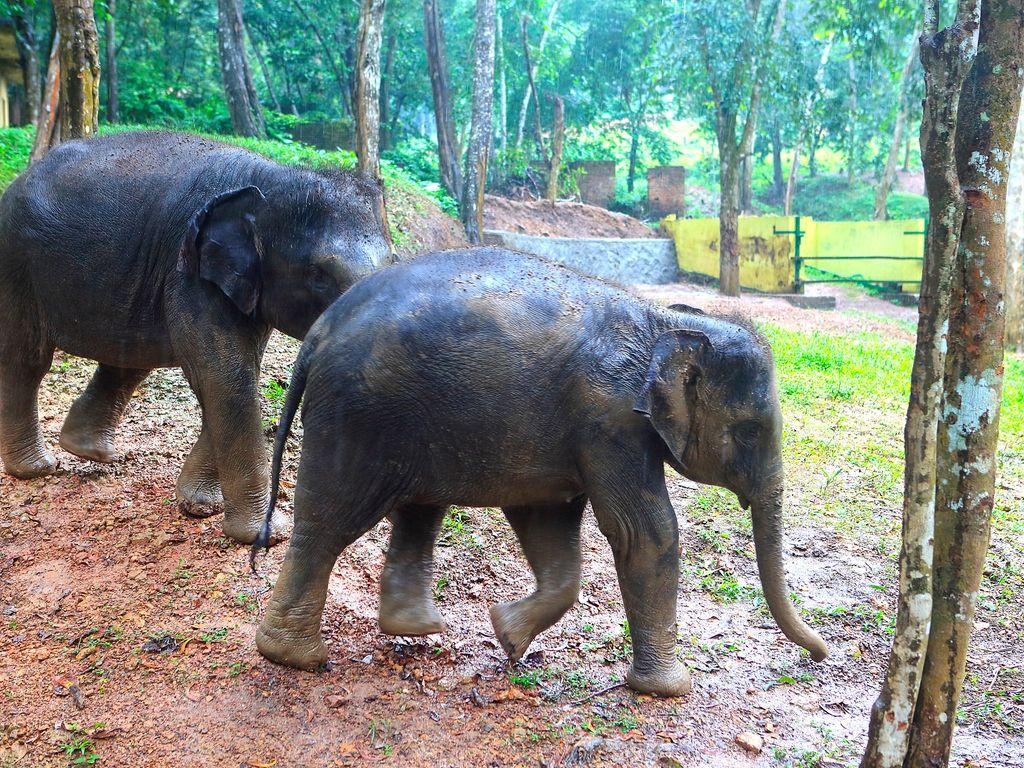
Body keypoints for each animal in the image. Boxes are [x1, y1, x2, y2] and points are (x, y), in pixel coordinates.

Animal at [0, 130, 392, 544]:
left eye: (394, 263)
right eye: (319, 275)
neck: (273, 177)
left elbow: (233, 375)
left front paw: (200, 505)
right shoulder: (190, 274)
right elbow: (227, 378)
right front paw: (264, 534)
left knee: (130, 358)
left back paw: (93, 452)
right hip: (15, 262)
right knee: (28, 360)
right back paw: (37, 468)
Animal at [250, 247, 828, 697]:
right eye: (750, 430)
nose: (820, 656)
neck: (665, 324)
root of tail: (319, 331)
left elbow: (547, 520)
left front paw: (507, 636)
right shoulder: (611, 423)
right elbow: (644, 531)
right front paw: (670, 689)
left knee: (419, 509)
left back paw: (414, 629)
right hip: (359, 415)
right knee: (329, 520)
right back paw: (295, 657)